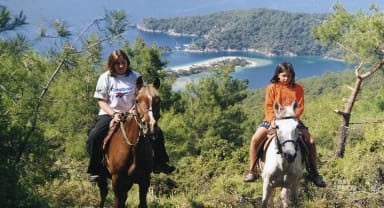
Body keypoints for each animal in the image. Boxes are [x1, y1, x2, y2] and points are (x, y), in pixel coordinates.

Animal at [99, 77, 160, 208]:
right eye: (137, 100)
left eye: (158, 100)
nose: (150, 125)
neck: (133, 147)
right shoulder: (117, 180)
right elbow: (117, 203)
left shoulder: (144, 180)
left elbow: (142, 203)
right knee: (103, 195)